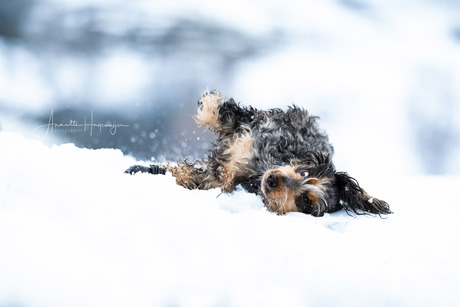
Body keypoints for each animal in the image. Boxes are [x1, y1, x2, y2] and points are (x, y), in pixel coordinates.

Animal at [126, 90, 392, 218]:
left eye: (306, 201)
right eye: (304, 171)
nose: (273, 179)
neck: (257, 171)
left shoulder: (220, 182)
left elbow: (199, 177)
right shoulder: (255, 128)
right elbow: (224, 113)